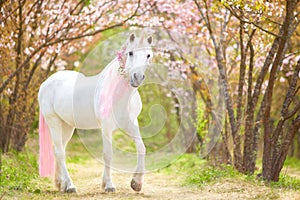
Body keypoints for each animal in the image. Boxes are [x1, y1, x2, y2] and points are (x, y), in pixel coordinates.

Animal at [38, 33, 152, 193]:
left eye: (148, 55)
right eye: (130, 53)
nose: (137, 77)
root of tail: (46, 82)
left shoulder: (130, 123)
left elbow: (141, 148)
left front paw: (136, 183)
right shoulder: (106, 126)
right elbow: (108, 154)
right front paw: (109, 185)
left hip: (66, 126)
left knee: (58, 150)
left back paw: (61, 184)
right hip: (53, 122)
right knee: (60, 153)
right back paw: (70, 186)